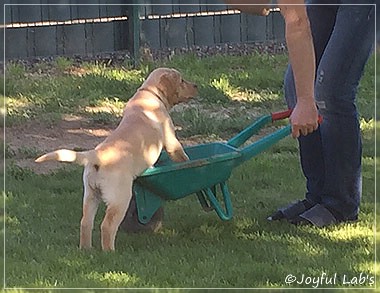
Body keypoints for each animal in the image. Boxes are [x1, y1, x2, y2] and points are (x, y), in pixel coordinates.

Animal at [35, 67, 199, 250]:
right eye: (182, 80)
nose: (196, 86)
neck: (149, 93)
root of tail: (96, 155)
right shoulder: (170, 139)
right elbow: (181, 155)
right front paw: (190, 166)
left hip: (90, 195)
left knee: (85, 222)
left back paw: (86, 249)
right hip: (120, 197)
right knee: (107, 226)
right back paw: (109, 251)